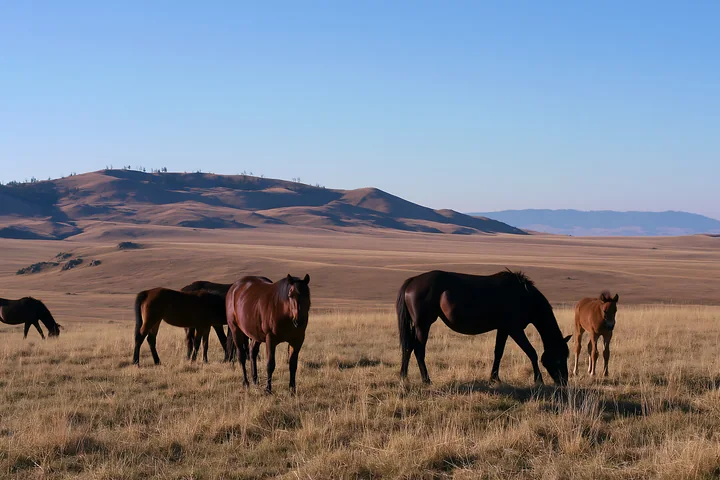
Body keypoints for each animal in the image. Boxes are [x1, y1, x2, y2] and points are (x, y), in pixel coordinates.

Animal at [396, 269, 572, 386]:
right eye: (559, 357)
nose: (564, 382)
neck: (524, 297)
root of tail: (413, 281)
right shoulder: (515, 329)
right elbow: (531, 352)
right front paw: (538, 380)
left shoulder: (503, 329)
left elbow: (498, 352)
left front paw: (494, 378)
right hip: (423, 325)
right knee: (419, 349)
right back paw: (426, 380)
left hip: (418, 326)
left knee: (409, 347)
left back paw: (404, 376)